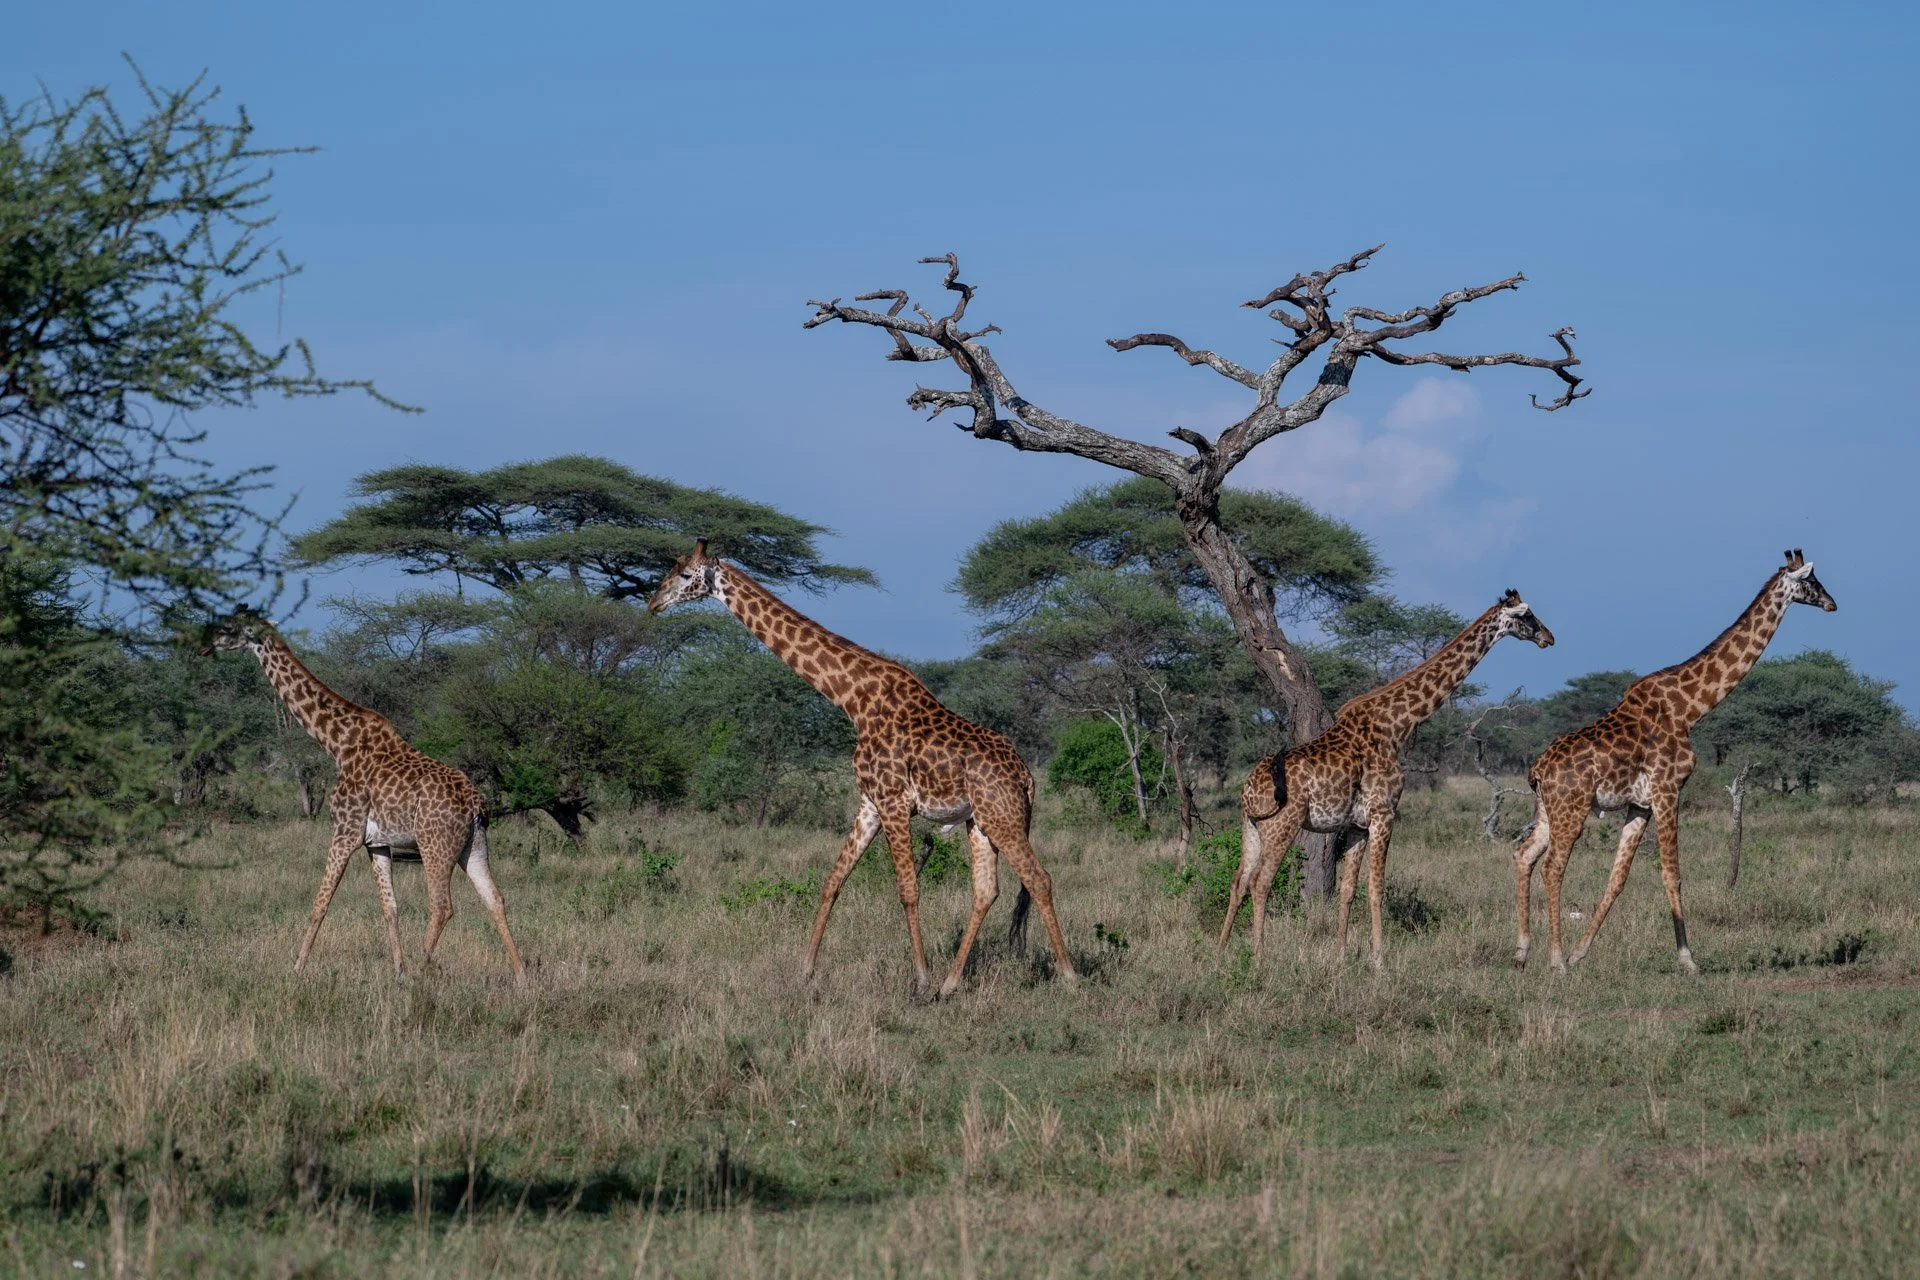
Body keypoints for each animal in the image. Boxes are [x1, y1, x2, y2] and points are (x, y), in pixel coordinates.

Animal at [201, 608, 526, 983]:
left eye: (229, 627)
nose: (204, 646)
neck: (336, 743)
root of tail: (476, 804)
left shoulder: (345, 830)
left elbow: (320, 902)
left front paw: (297, 968)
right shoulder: (378, 843)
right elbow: (390, 907)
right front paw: (398, 971)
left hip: (435, 844)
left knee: (442, 906)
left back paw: (422, 971)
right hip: (473, 845)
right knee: (494, 898)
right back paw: (521, 975)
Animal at [647, 540, 1076, 999]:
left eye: (685, 574)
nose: (653, 602)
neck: (851, 699)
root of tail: (1027, 777)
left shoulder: (893, 801)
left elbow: (908, 889)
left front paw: (919, 980)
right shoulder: (869, 802)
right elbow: (833, 881)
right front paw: (805, 972)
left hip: (1003, 816)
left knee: (1039, 878)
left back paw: (1067, 975)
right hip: (980, 820)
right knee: (986, 890)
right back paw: (950, 984)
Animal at [1218, 590, 1556, 966]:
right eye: (1527, 615)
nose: (1549, 637)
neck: (1397, 726)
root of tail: (1247, 791)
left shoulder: (1356, 825)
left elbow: (1348, 890)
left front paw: (1342, 955)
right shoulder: (1384, 813)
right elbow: (1376, 888)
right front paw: (1378, 958)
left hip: (1251, 825)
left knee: (1238, 880)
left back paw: (1220, 952)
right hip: (1282, 824)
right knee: (1260, 882)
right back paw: (1258, 956)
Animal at [1513, 550, 1836, 974]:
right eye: (1812, 582)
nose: (1832, 603)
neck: (1689, 709)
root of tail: (1537, 770)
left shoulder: (1640, 804)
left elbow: (1618, 877)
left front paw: (1581, 951)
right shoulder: (1668, 790)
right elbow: (1672, 873)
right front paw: (1688, 959)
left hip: (1547, 810)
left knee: (1524, 855)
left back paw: (1522, 952)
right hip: (1572, 808)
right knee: (1553, 867)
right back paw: (1555, 961)